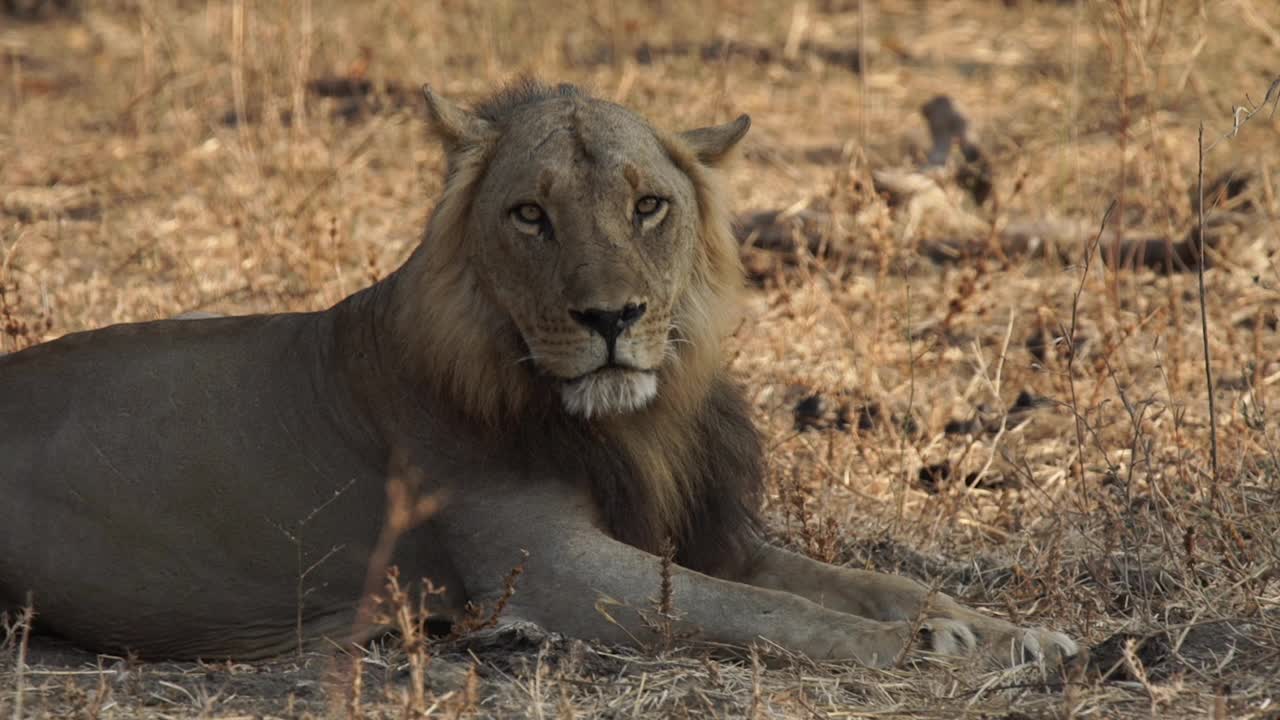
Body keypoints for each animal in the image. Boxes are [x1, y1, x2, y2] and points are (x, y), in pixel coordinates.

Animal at [0, 79, 1080, 666]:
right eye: (529, 215)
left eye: (647, 205)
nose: (611, 319)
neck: (629, 422)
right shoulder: (548, 567)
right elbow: (767, 611)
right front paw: (922, 649)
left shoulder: (707, 535)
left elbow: (863, 582)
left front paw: (1006, 632)